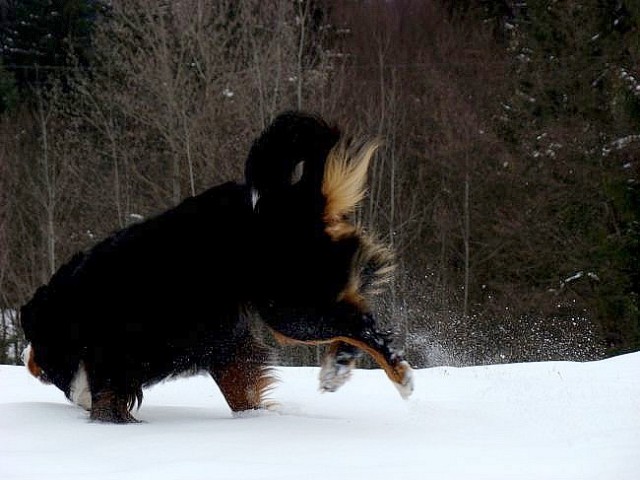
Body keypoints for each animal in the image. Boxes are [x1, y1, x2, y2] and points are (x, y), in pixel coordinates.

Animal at [20, 110, 412, 422]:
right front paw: (254, 420)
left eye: (32, 337)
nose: (25, 356)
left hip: (290, 306)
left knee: (362, 326)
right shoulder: (223, 343)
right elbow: (240, 389)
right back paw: (337, 368)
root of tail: (291, 200)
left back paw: (399, 377)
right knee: (354, 316)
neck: (71, 310)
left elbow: (106, 401)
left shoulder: (114, 359)